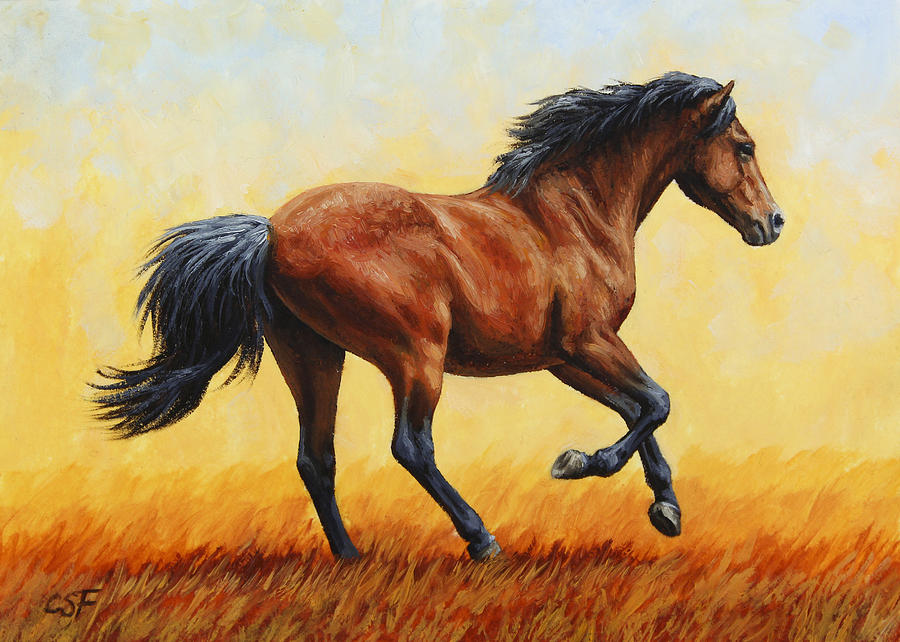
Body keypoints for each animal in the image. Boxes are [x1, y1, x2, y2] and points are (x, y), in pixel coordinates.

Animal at [92, 72, 784, 561]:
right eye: (745, 146)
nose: (773, 223)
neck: (575, 214)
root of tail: (270, 234)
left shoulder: (564, 358)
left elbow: (637, 409)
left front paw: (665, 507)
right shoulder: (590, 341)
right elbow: (657, 402)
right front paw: (579, 465)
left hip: (313, 355)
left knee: (317, 456)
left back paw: (351, 557)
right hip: (414, 355)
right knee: (411, 446)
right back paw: (480, 540)